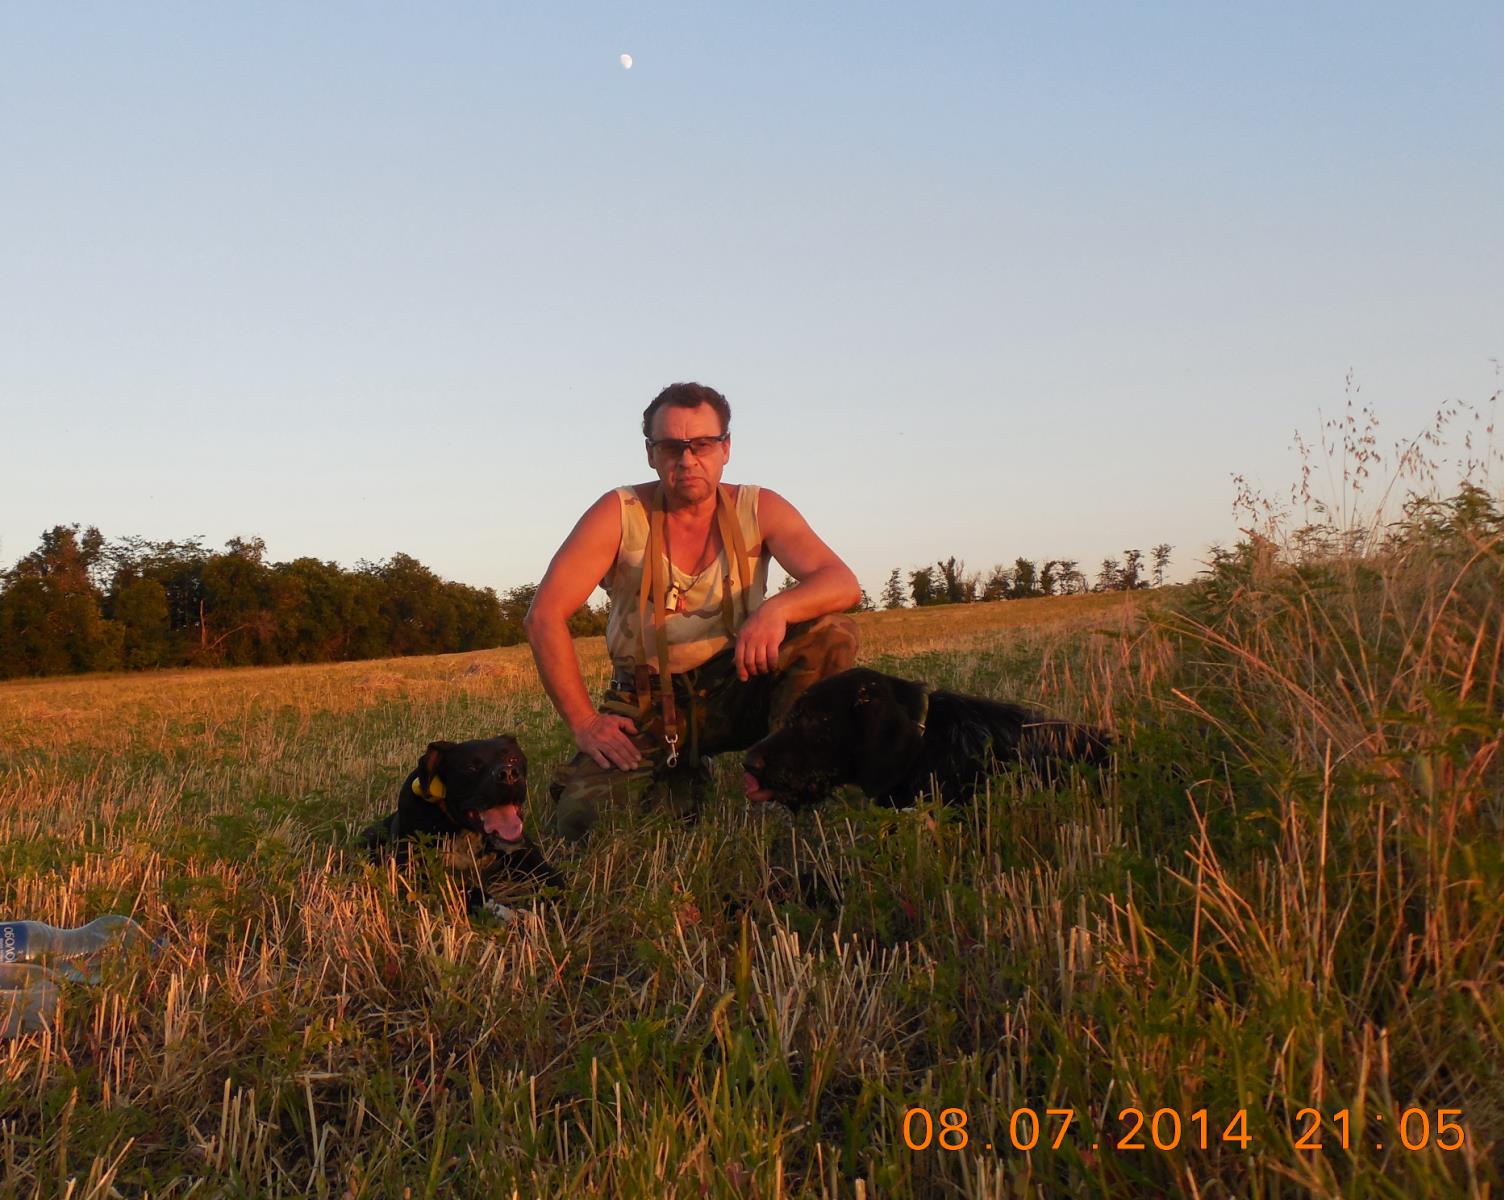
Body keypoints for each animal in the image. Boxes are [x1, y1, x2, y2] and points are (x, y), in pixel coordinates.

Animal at [361, 736, 562, 910]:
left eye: (513, 758)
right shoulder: (417, 871)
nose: (508, 774)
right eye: (470, 767)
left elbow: (554, 879)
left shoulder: (525, 852)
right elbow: (465, 891)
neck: (465, 831)